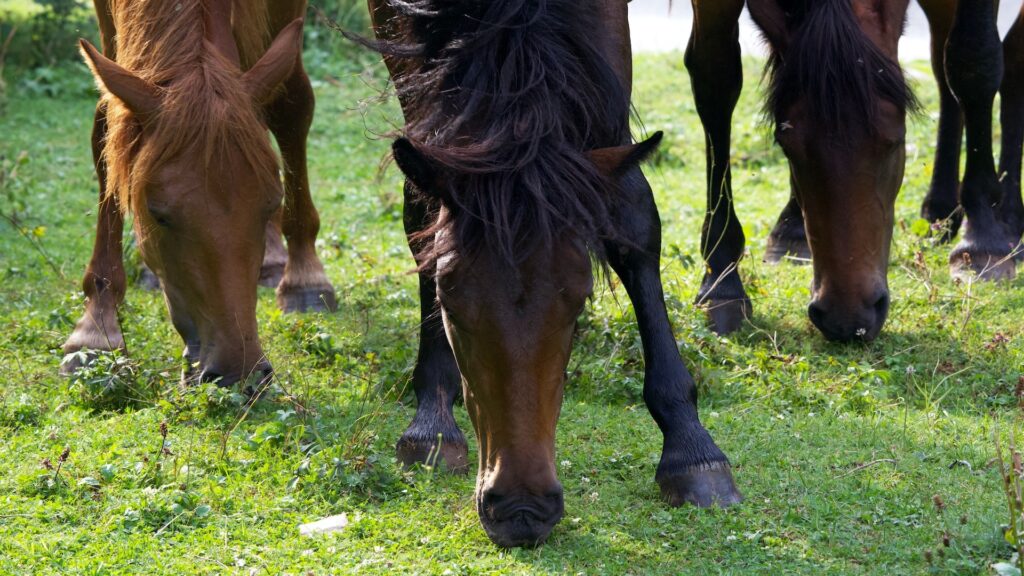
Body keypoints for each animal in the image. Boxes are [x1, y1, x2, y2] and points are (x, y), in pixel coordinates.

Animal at [60, 0, 335, 385]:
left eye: (271, 205)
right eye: (157, 214)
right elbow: (108, 125)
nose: (239, 373)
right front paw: (97, 328)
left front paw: (305, 278)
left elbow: (290, 103)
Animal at [364, 0, 741, 545]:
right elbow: (421, 208)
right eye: (448, 298)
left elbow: (633, 212)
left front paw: (691, 448)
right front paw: (431, 421)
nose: (522, 508)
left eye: (579, 300)